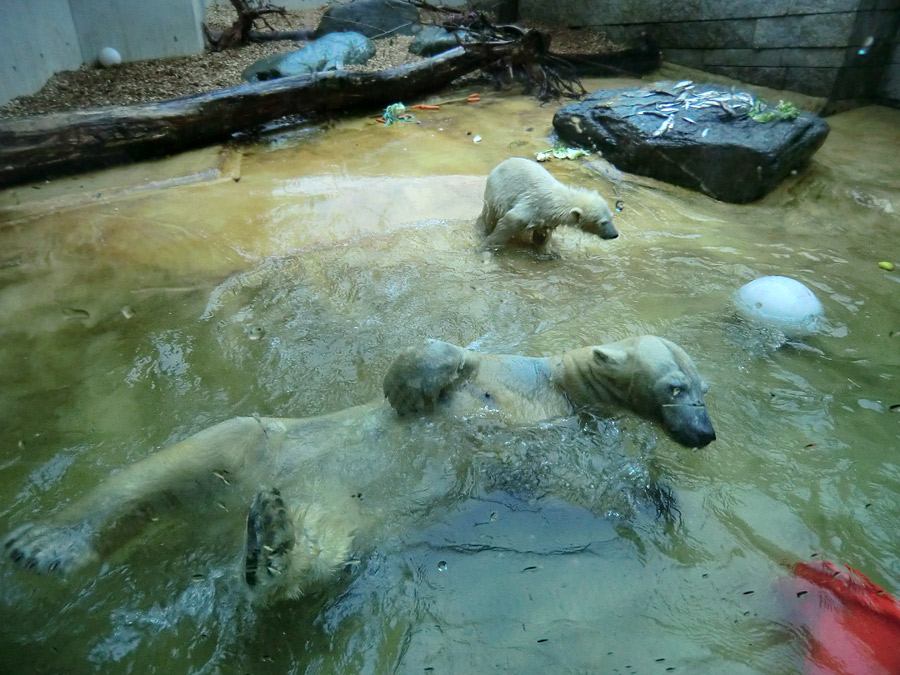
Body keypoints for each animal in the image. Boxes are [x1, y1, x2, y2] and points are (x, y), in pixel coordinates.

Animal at [3, 336, 712, 604]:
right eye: (679, 387)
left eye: (702, 389)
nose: (705, 433)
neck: (555, 393)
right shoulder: (505, 369)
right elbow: (439, 356)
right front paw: (411, 386)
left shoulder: (564, 442)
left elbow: (589, 483)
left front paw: (659, 497)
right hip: (266, 445)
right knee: (196, 452)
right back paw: (45, 541)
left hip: (345, 518)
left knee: (316, 560)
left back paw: (270, 543)